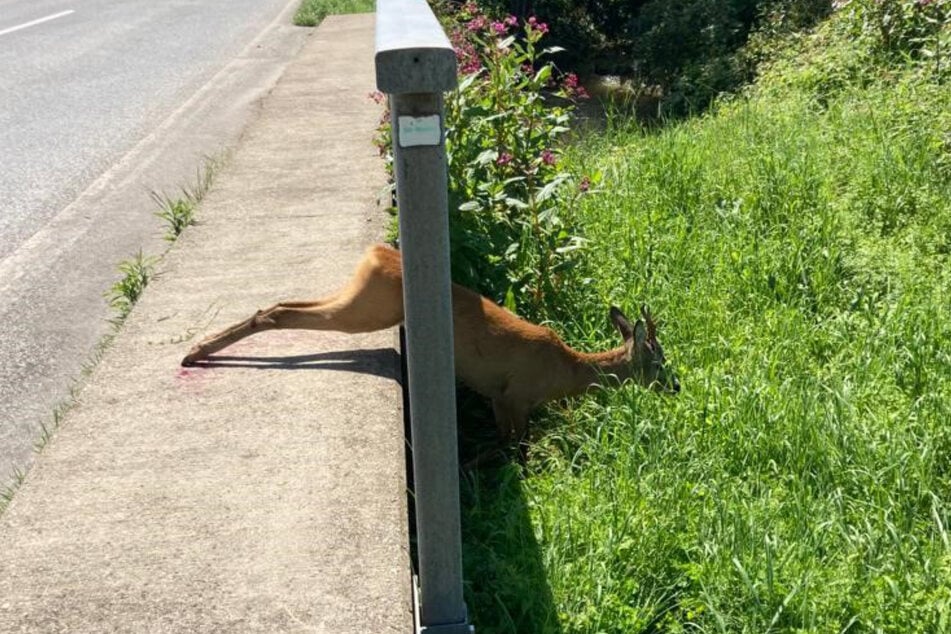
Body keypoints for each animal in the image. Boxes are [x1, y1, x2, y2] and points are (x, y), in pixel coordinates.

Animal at [182, 244, 676, 442]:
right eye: (660, 362)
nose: (676, 388)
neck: (567, 370)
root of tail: (380, 252)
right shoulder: (515, 395)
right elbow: (517, 449)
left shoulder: (496, 397)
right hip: (371, 309)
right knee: (282, 313)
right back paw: (196, 353)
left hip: (361, 294)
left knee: (282, 302)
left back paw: (197, 349)